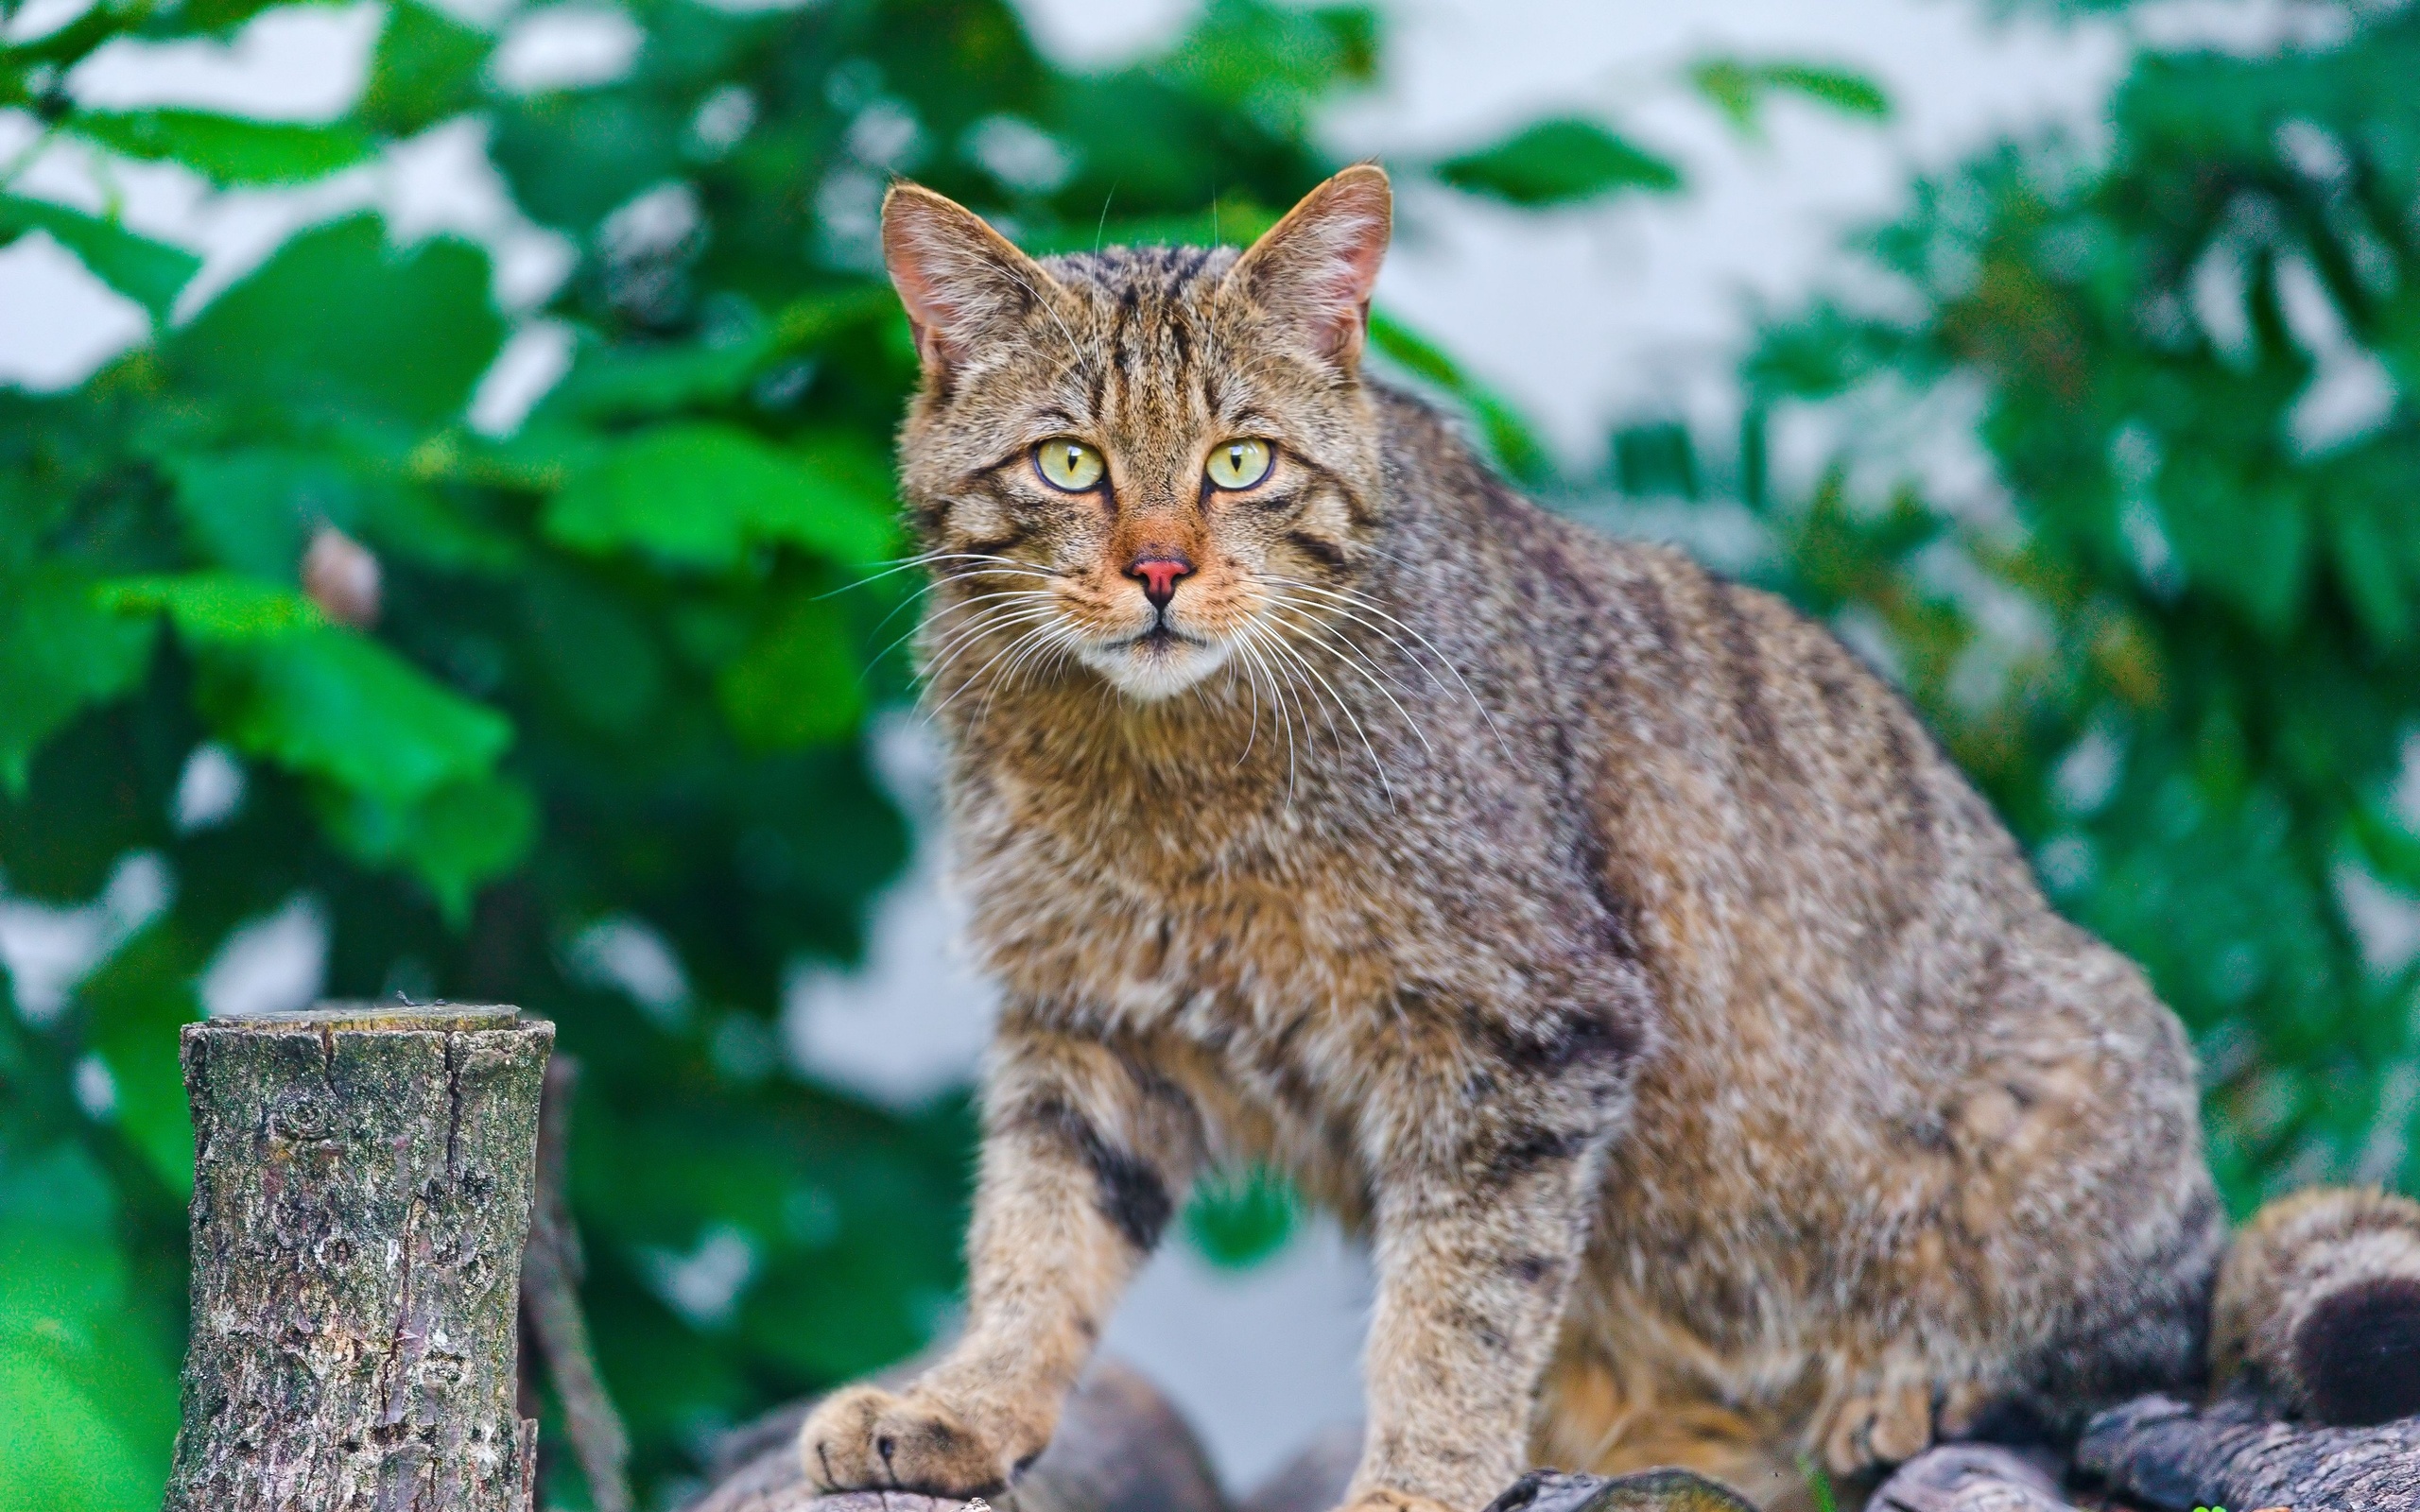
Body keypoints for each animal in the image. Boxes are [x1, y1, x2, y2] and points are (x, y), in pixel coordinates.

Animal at [798, 164, 2420, 1509]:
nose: (1157, 569)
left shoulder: (1522, 1028)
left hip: (2073, 1094)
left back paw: (1918, 1390)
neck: (1157, 770)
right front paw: (966, 1405)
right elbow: (1035, 1250)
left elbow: (1456, 1313)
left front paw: (1417, 1486)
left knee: (2120, 1356)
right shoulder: (1086, 1024)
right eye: (1069, 465)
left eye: (1241, 463)